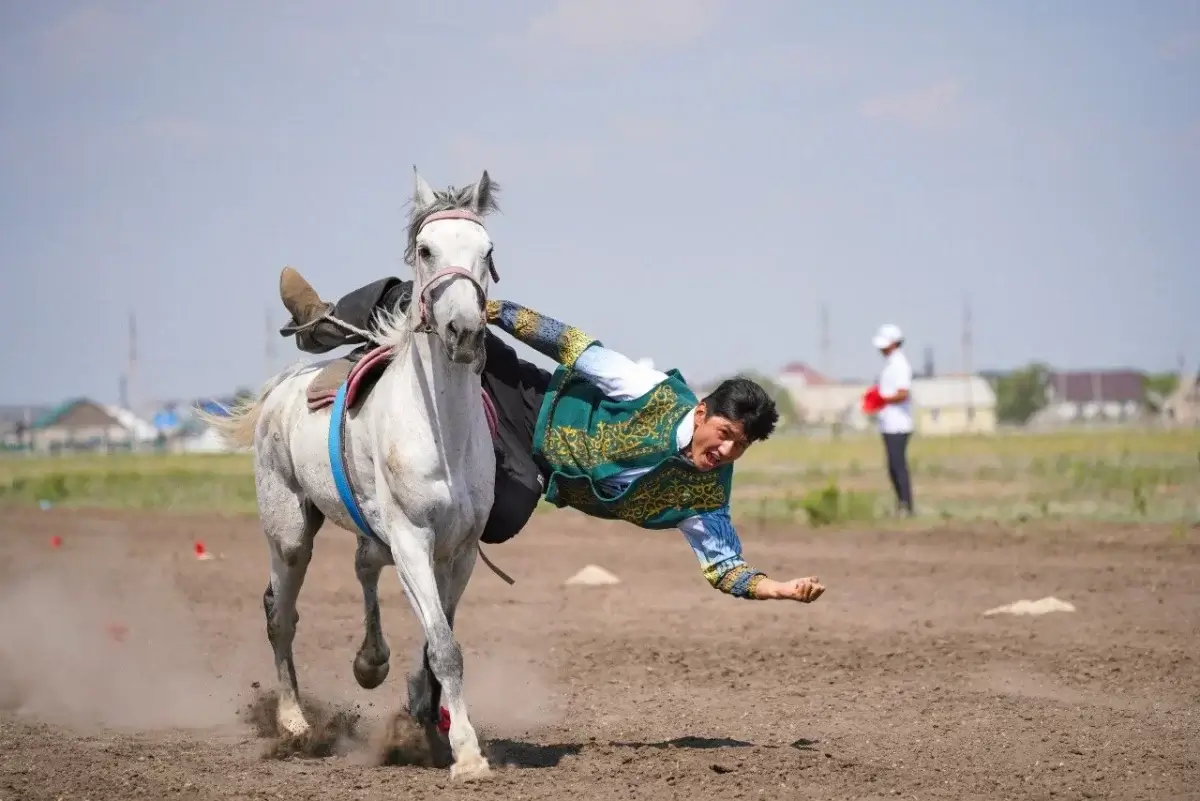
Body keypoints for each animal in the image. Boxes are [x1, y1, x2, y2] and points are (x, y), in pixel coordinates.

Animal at [200, 167, 496, 777]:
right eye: (426, 250)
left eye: (488, 251)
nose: (464, 332)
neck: (444, 432)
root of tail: (281, 387)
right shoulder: (411, 540)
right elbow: (445, 648)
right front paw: (467, 755)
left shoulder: (461, 551)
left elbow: (438, 642)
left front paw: (426, 718)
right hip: (290, 532)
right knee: (280, 613)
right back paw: (294, 722)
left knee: (363, 567)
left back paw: (370, 661)